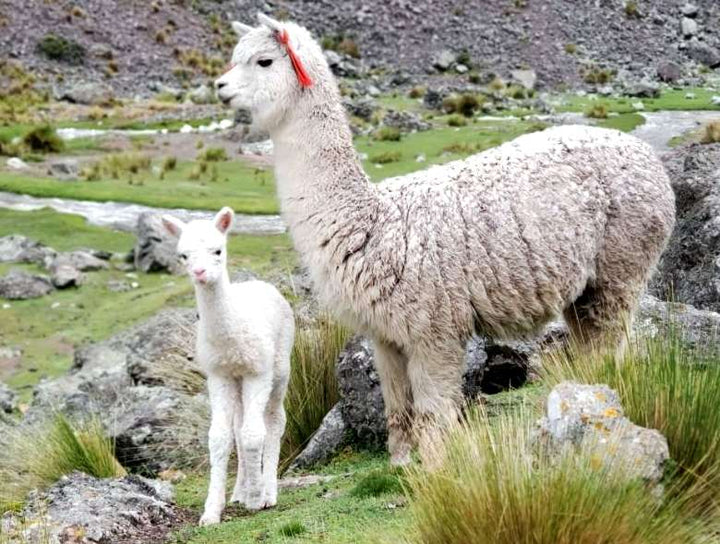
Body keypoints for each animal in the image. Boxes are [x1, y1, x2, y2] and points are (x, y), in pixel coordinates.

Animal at [161, 207, 294, 524]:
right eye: (183, 255)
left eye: (218, 250)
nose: (199, 273)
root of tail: (262, 284)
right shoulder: (218, 374)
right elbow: (220, 437)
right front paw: (212, 511)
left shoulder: (257, 371)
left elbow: (254, 434)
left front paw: (257, 498)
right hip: (238, 381)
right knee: (239, 426)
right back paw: (239, 491)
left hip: (279, 367)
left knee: (274, 421)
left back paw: (268, 491)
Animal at [214, 15, 676, 466]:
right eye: (233, 57)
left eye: (263, 61)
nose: (220, 86)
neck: (370, 221)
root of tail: (649, 158)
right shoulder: (386, 336)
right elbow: (398, 409)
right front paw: (402, 466)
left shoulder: (435, 328)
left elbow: (434, 414)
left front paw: (437, 468)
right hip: (585, 289)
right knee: (594, 345)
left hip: (621, 263)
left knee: (611, 343)